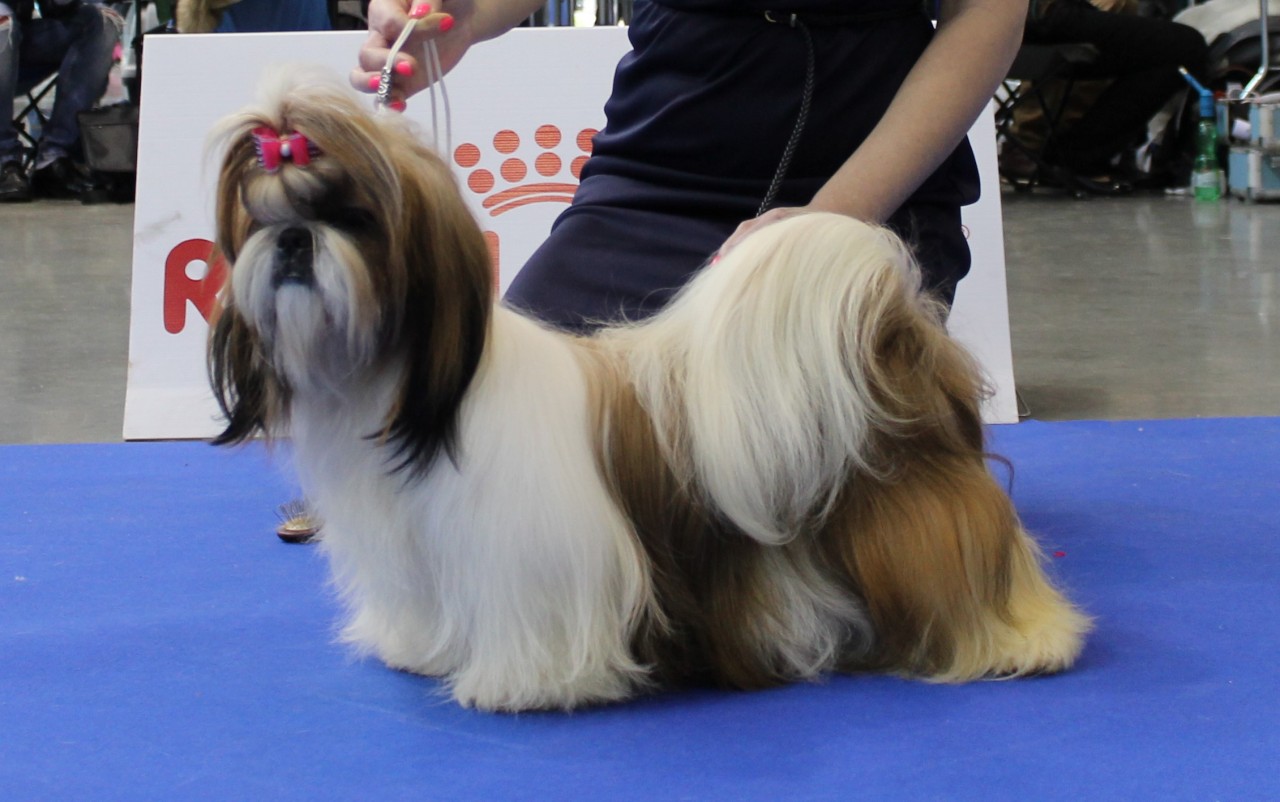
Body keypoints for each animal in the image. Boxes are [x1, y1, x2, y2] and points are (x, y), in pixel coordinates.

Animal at [207, 74, 1089, 712]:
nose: (293, 240)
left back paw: (1021, 641)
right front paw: (423, 650)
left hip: (918, 522)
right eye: (258, 221)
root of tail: (898, 333)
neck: (415, 393)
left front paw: (520, 686)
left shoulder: (529, 564)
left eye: (352, 216)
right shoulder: (416, 551)